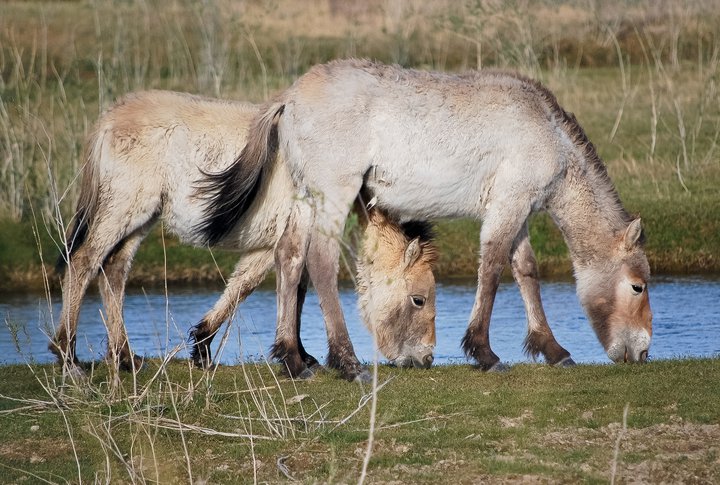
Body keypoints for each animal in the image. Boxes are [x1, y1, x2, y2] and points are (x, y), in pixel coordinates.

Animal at [50, 91, 436, 378]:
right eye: (419, 299)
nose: (427, 359)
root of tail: (109, 118)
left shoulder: (269, 245)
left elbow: (251, 286)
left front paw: (203, 346)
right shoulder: (294, 234)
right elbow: (288, 280)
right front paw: (295, 361)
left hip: (139, 219)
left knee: (113, 270)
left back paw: (126, 358)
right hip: (123, 210)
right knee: (84, 262)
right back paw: (69, 359)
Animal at [195, 56, 652, 374]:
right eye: (637, 286)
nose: (643, 351)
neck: (548, 133)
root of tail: (289, 99)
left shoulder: (515, 208)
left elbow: (525, 270)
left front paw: (553, 350)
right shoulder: (510, 205)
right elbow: (492, 268)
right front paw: (485, 353)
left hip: (306, 197)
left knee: (289, 256)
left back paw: (292, 359)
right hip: (333, 194)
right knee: (320, 261)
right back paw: (347, 362)